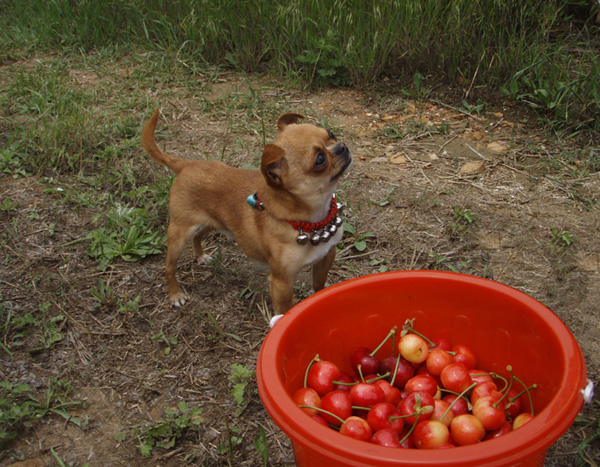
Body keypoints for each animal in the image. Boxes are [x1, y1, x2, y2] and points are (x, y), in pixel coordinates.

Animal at [142, 108, 352, 316]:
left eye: (331, 134)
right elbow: (284, 310)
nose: (342, 146)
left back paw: (200, 256)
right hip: (179, 234)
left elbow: (318, 285)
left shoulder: (326, 257)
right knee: (169, 266)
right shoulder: (281, 283)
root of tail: (187, 165)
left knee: (197, 236)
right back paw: (175, 294)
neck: (313, 218)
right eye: (320, 160)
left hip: (212, 222)